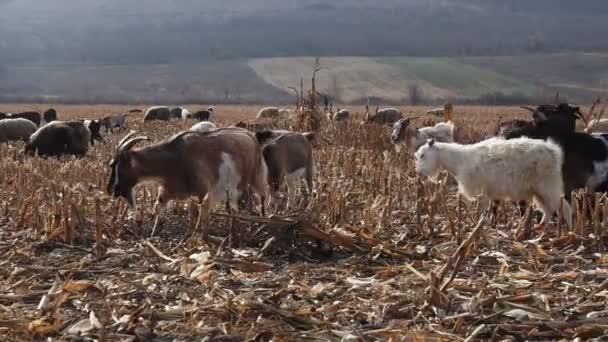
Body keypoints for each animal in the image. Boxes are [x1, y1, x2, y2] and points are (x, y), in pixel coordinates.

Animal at [106, 128, 266, 238]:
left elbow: (202, 214)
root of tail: (250, 135)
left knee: (262, 197)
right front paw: (152, 233)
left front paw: (197, 237)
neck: (175, 157)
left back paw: (262, 221)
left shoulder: (203, 192)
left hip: (257, 176)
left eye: (117, 166)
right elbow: (157, 209)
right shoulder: (168, 190)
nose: (110, 190)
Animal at [416, 136, 572, 227]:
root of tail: (554, 151)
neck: (459, 161)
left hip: (549, 187)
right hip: (539, 191)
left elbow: (479, 213)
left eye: (423, 155)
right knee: (548, 210)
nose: (419, 172)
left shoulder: (482, 194)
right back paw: (540, 228)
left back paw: (570, 231)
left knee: (565, 207)